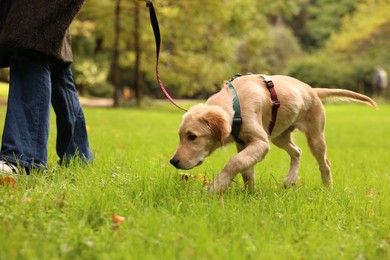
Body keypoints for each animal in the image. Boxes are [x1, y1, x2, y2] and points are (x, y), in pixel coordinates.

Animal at [170, 74, 374, 192]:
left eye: (192, 137)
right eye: (180, 136)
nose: (173, 162)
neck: (235, 104)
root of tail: (311, 89)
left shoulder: (261, 143)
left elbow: (235, 162)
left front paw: (215, 187)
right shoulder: (243, 143)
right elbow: (246, 169)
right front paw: (249, 194)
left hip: (315, 136)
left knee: (325, 163)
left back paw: (327, 188)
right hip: (279, 136)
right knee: (297, 151)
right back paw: (290, 180)